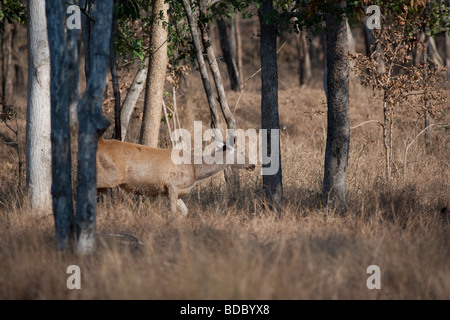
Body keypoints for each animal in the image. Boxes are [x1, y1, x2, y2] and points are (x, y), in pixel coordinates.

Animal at [96, 135, 255, 218]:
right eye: (241, 152)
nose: (252, 165)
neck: (196, 170)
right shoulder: (172, 184)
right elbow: (172, 211)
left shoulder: (172, 191)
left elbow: (184, 211)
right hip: (109, 175)